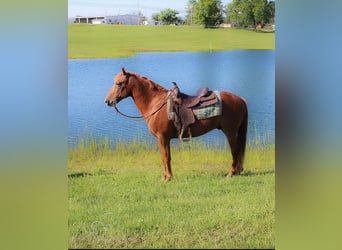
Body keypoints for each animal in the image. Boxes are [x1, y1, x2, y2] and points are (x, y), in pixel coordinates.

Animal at [105, 68, 248, 182]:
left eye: (118, 83)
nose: (108, 101)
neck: (155, 103)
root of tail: (240, 99)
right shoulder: (164, 139)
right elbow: (165, 157)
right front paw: (165, 177)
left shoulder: (162, 137)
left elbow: (165, 157)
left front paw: (167, 178)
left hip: (230, 131)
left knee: (235, 151)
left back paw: (231, 173)